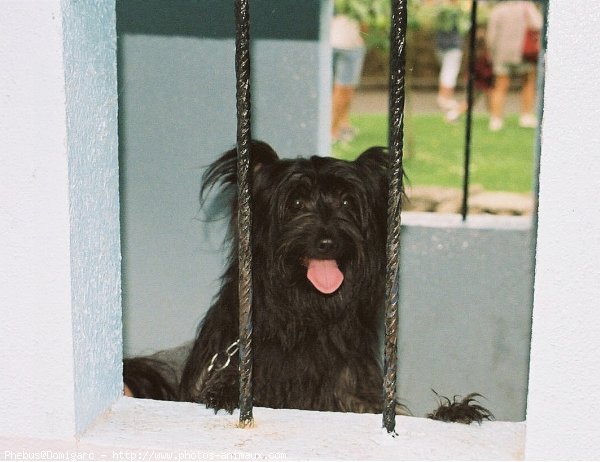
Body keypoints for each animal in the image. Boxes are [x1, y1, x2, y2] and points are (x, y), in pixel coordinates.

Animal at [125, 140, 492, 422]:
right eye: (296, 202)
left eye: (347, 201)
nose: (327, 241)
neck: (306, 315)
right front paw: (228, 390)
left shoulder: (354, 397)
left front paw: (452, 412)